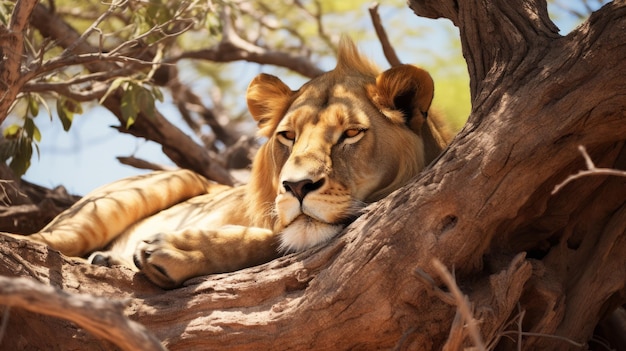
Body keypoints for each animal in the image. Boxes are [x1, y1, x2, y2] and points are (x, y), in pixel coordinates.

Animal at [9, 38, 448, 290]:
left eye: (351, 134)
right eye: (288, 136)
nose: (297, 187)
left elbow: (263, 240)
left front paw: (174, 250)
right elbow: (263, 236)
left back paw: (108, 259)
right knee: (32, 242)